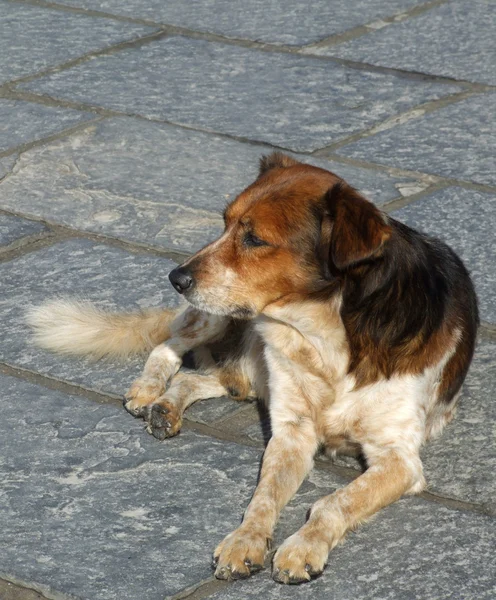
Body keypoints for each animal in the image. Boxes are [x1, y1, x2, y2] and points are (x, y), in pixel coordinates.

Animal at [27, 152, 476, 584]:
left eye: (255, 238)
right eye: (223, 223)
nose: (175, 277)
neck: (320, 331)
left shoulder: (398, 458)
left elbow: (333, 502)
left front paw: (302, 547)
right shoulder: (291, 432)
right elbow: (262, 499)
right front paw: (244, 542)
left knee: (205, 378)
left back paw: (168, 407)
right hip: (212, 318)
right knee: (167, 348)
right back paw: (149, 393)